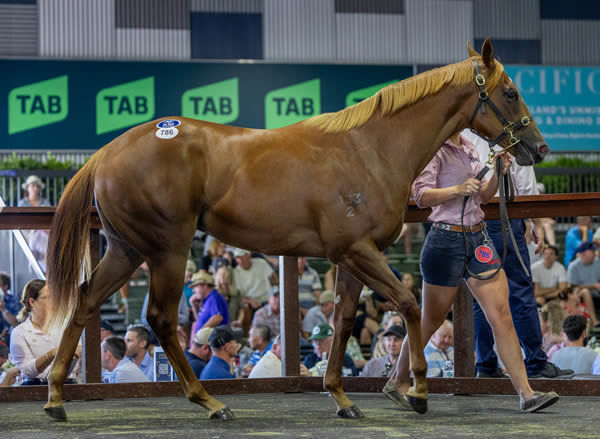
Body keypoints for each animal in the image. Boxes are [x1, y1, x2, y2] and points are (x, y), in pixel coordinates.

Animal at [42, 40, 548, 422]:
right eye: (510, 92)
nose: (538, 149)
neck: (369, 149)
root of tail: (109, 150)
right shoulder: (359, 251)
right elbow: (408, 303)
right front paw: (419, 392)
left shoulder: (351, 257)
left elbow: (343, 320)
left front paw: (341, 398)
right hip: (167, 249)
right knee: (162, 318)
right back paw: (210, 402)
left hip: (125, 249)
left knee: (85, 302)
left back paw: (55, 398)